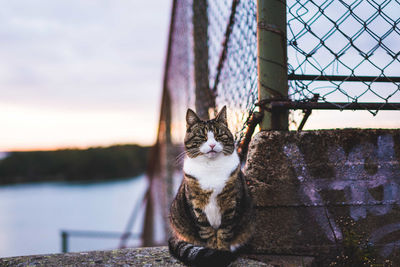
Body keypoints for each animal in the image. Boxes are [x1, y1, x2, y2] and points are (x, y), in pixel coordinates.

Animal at [169, 107, 253, 267]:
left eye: (219, 135)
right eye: (202, 136)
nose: (212, 145)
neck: (211, 167)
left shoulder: (231, 204)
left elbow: (224, 232)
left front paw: (222, 252)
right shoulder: (197, 206)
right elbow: (207, 232)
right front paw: (214, 254)